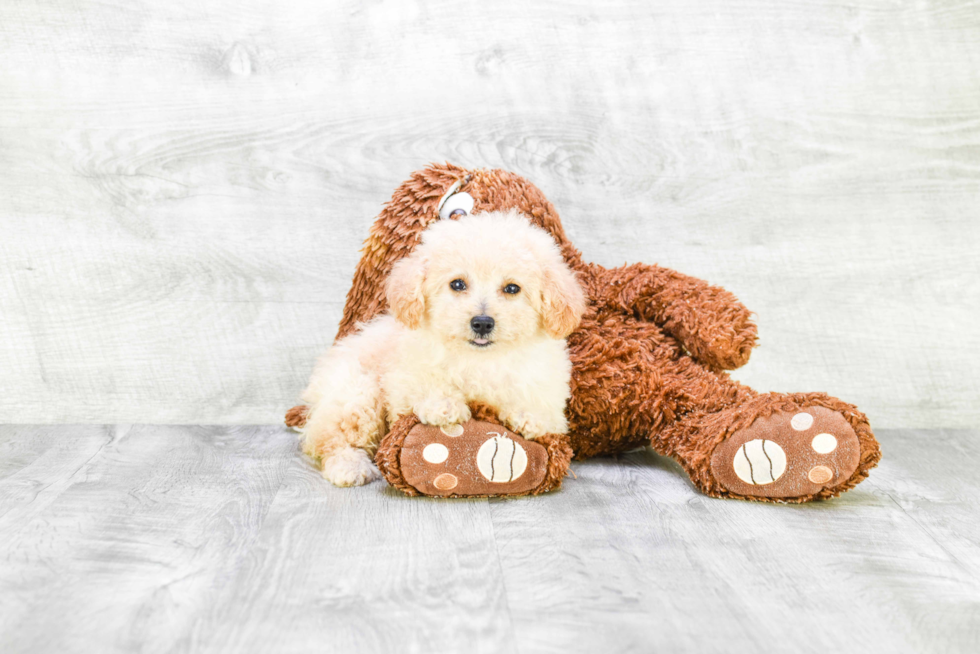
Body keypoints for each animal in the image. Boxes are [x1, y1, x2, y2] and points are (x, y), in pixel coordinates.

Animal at [298, 210, 584, 486]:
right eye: (457, 284)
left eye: (512, 288)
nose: (482, 322)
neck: (480, 358)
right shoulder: (404, 376)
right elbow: (425, 383)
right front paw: (444, 405)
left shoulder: (546, 383)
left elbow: (538, 402)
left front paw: (530, 416)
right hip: (355, 393)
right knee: (328, 439)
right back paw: (349, 466)